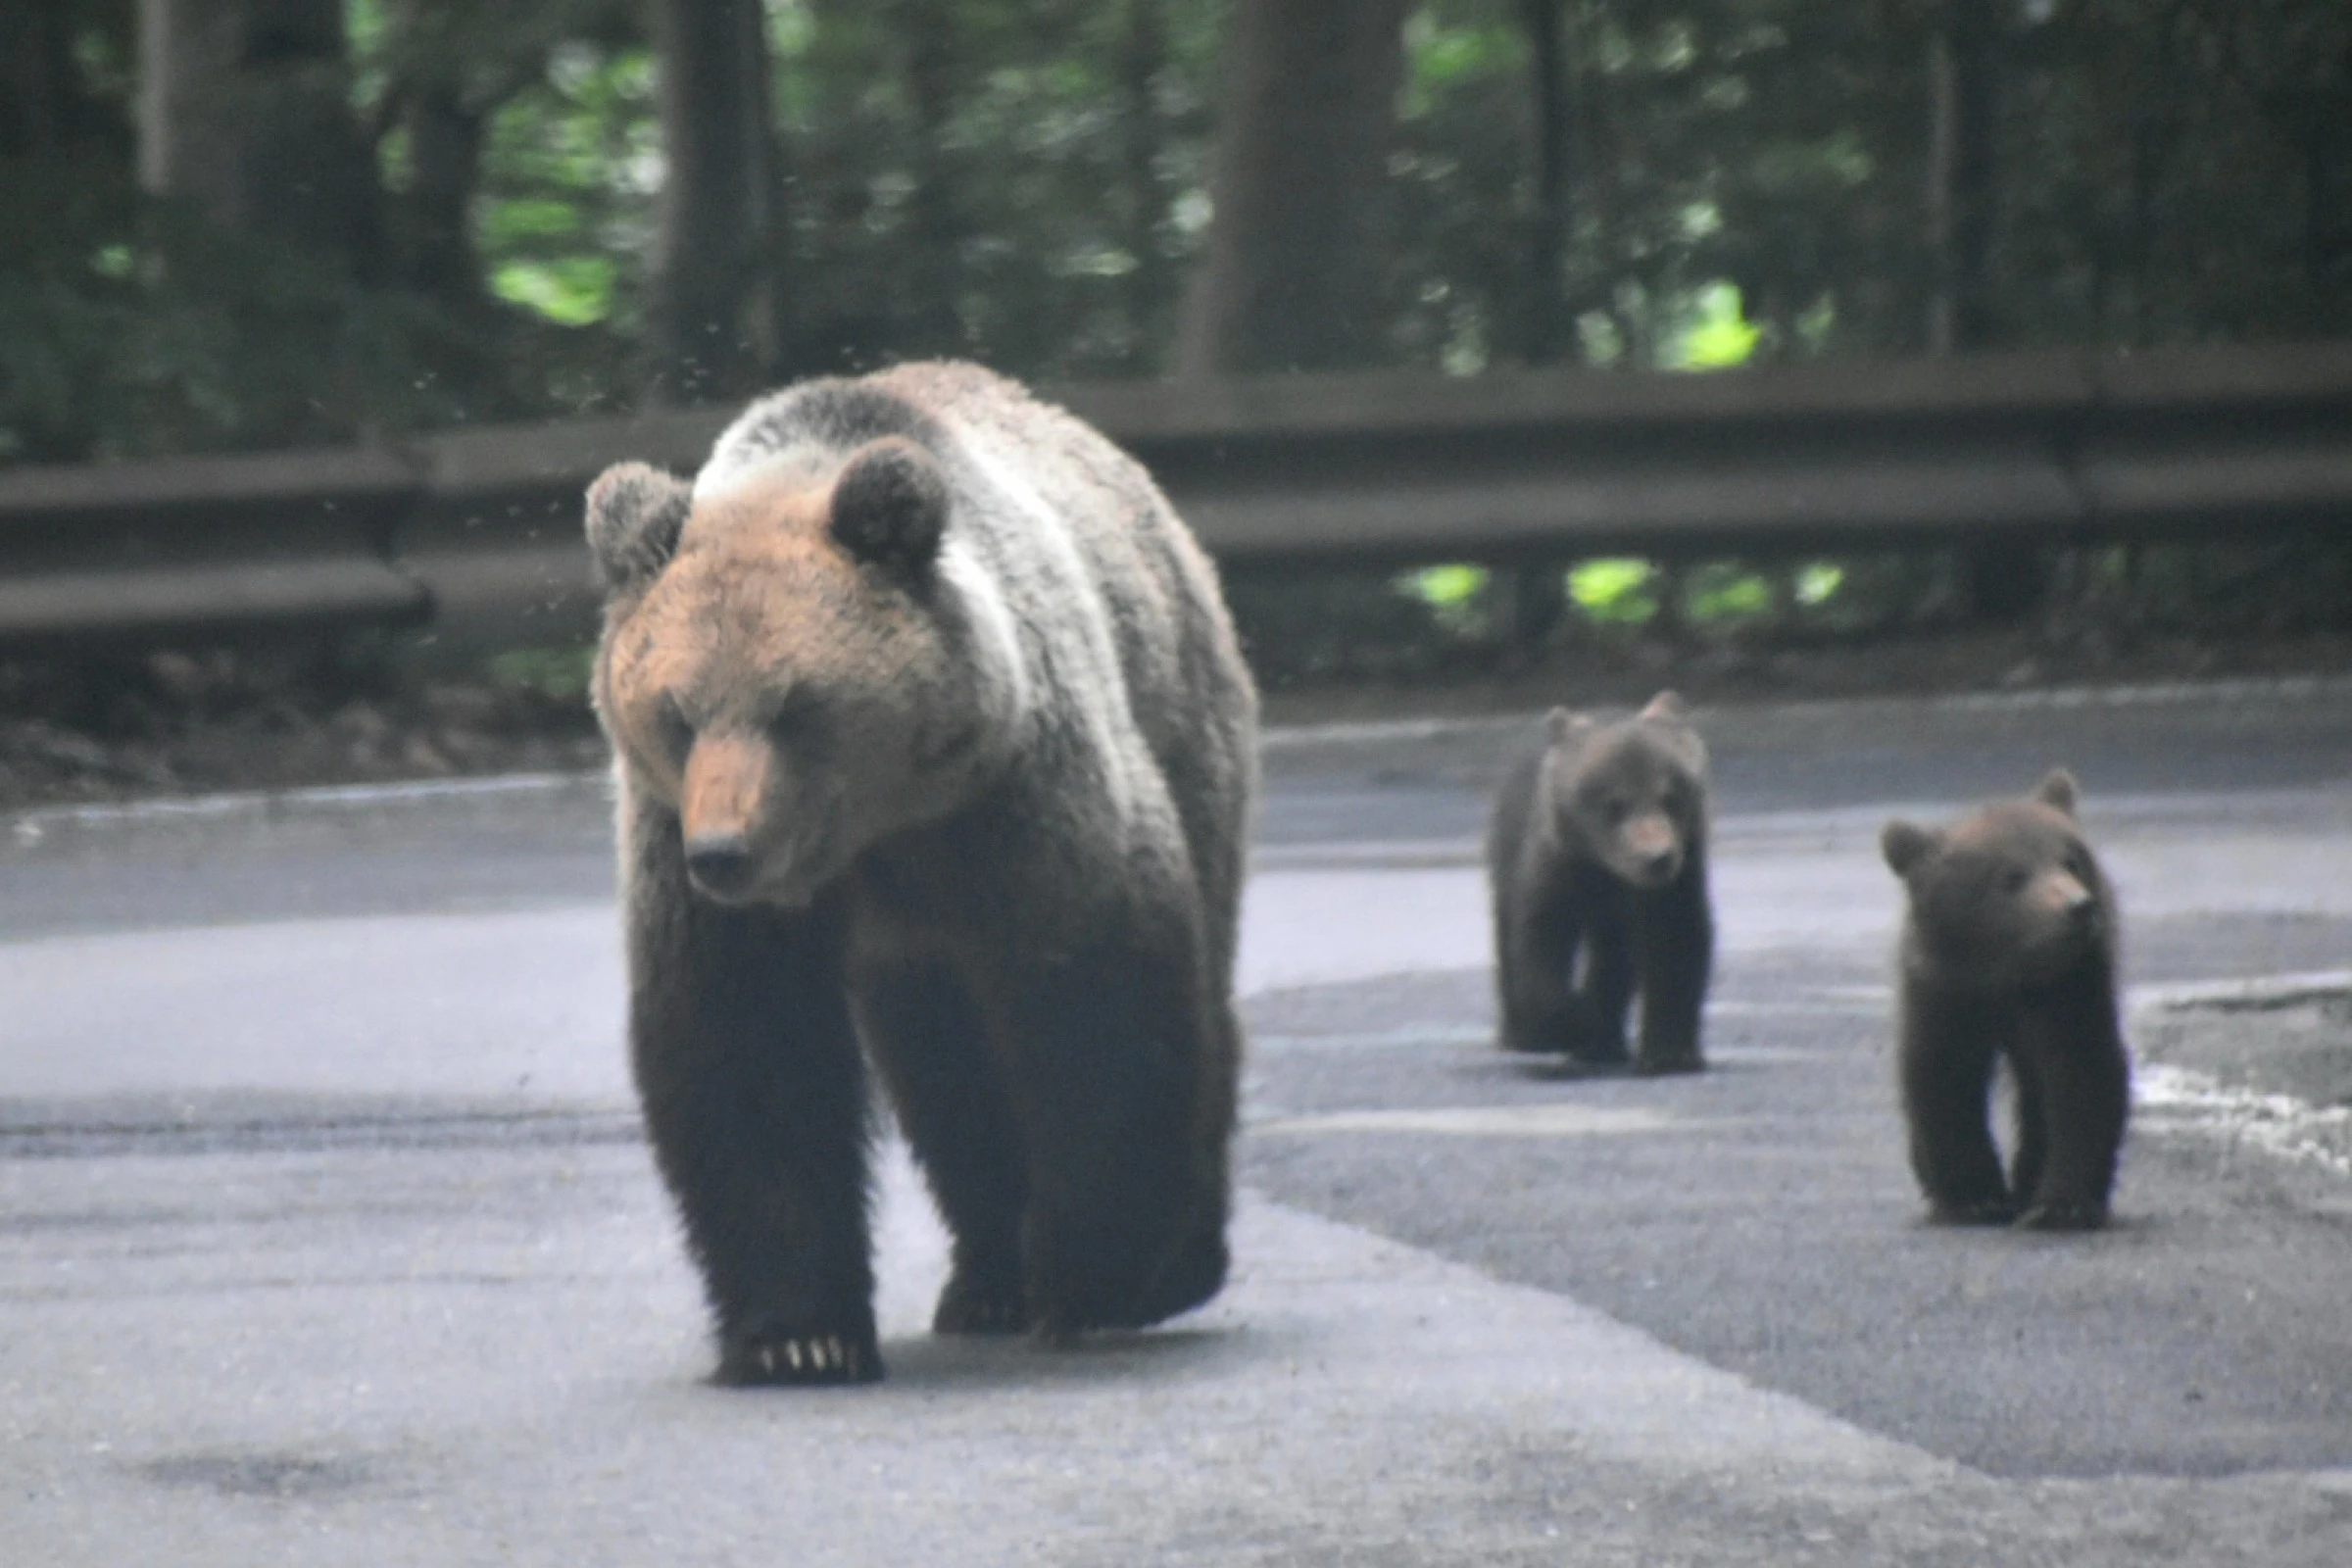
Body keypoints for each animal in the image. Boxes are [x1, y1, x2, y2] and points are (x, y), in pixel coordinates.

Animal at [584, 361, 1258, 1384]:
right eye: (678, 713)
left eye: (795, 705)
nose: (727, 852)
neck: (874, 831)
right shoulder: (691, 864)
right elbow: (750, 1052)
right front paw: (800, 1337)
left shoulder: (1015, 803)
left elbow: (1096, 1005)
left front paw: (1097, 1273)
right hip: (907, 954)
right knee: (948, 1080)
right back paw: (986, 1282)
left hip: (1185, 720)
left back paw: (1168, 1263)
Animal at [1485, 691, 1713, 1074]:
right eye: (1614, 804)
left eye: (1671, 797)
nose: (1656, 857)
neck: (1610, 874)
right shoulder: (1558, 866)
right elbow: (1540, 942)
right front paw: (1572, 1025)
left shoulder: (1677, 880)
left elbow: (1676, 943)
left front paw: (1669, 1053)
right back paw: (1522, 1035)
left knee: (1614, 958)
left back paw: (1606, 1042)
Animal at [1880, 769, 2130, 1231]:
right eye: (2010, 876)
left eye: (2071, 860)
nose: (2077, 907)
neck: (2003, 972)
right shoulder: (1945, 992)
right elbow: (1943, 1077)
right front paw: (1974, 1197)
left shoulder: (2069, 988)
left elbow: (2080, 1075)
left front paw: (2061, 1204)